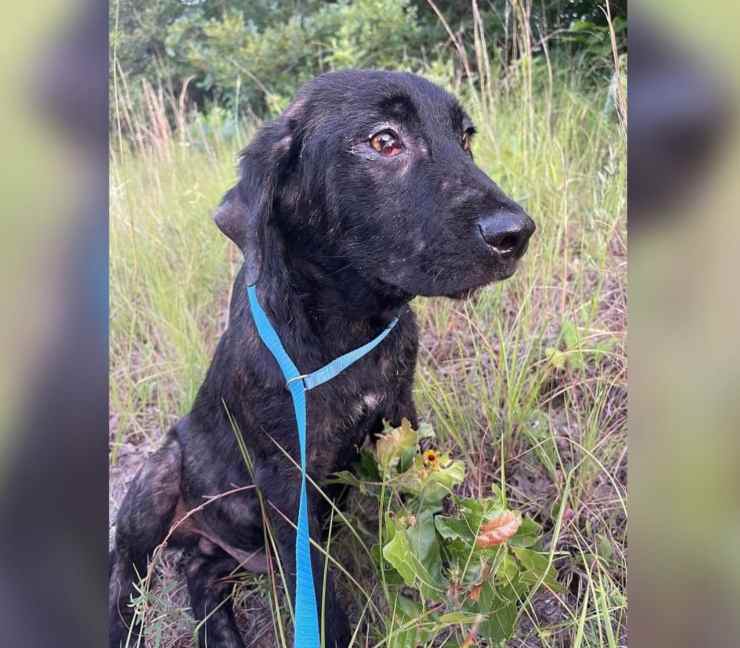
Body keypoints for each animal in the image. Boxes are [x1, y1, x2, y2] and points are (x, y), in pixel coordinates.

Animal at [110, 68, 536, 644]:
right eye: (384, 141)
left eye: (466, 137)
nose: (517, 233)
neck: (351, 329)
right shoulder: (288, 482)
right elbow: (320, 593)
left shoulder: (400, 416)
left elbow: (430, 506)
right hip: (157, 479)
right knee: (125, 571)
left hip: (218, 553)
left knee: (198, 573)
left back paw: (221, 633)